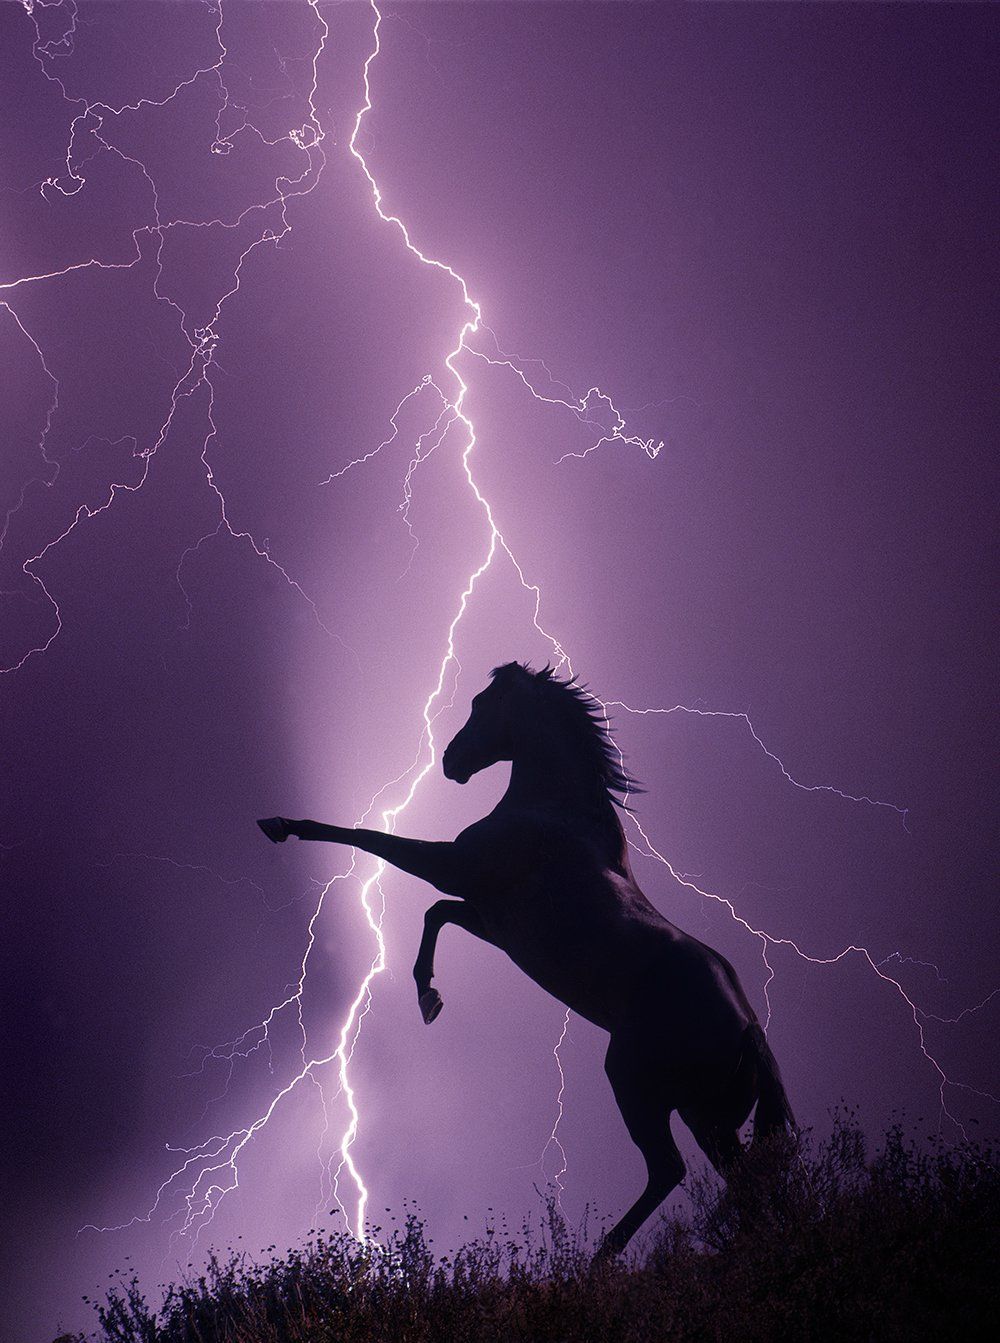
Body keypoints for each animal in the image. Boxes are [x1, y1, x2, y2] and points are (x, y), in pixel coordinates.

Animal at [258, 661, 795, 1257]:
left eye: (481, 703)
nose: (450, 761)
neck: (551, 814)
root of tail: (748, 1026)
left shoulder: (453, 867)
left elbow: (370, 839)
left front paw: (282, 825)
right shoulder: (492, 920)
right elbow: (435, 914)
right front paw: (428, 997)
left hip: (635, 1082)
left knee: (668, 1170)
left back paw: (598, 1260)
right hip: (709, 1117)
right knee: (746, 1185)